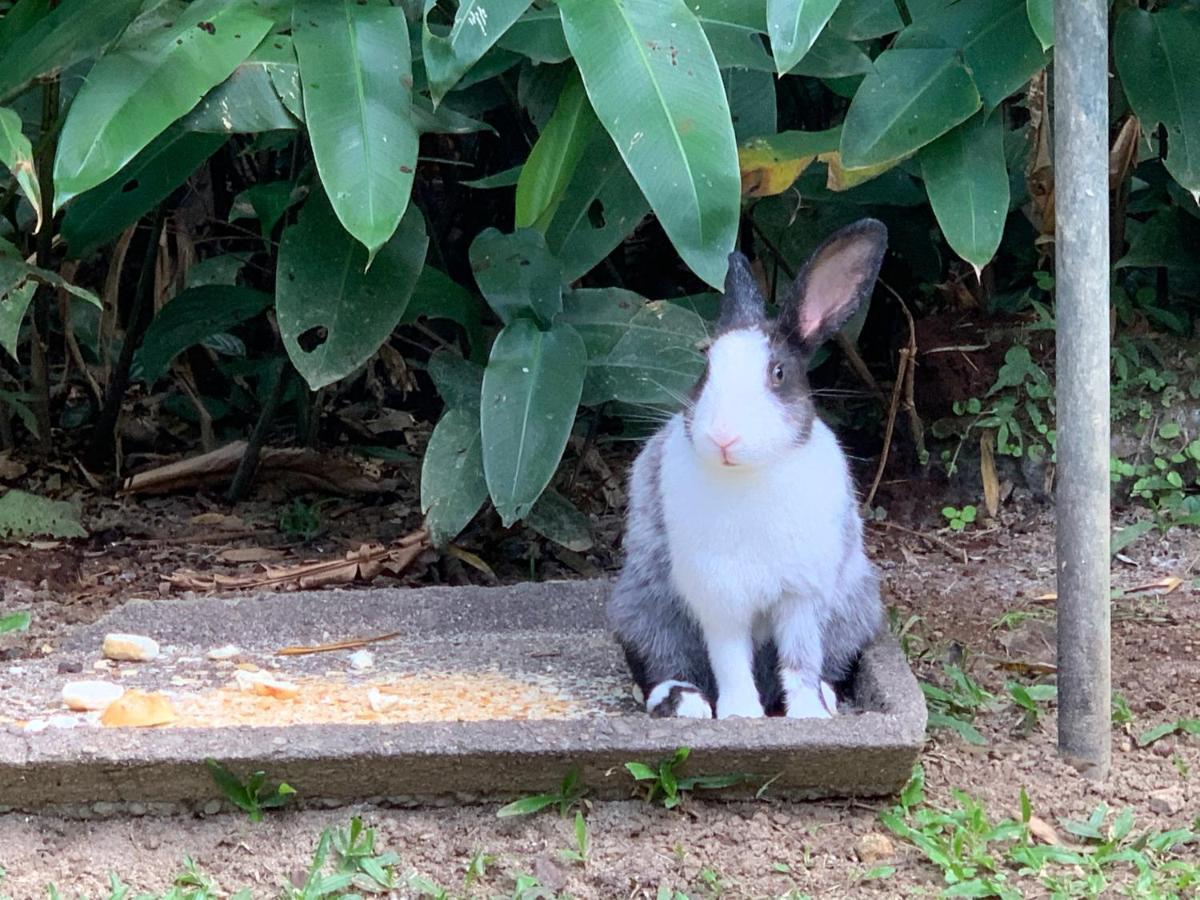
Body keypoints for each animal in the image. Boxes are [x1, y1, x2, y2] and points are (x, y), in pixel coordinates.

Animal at [609, 218, 892, 720]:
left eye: (777, 373)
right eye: (705, 369)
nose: (724, 436)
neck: (749, 474)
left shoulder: (802, 595)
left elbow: (800, 659)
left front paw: (808, 714)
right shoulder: (719, 597)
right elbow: (729, 660)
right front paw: (741, 714)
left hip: (855, 608)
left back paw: (827, 698)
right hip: (645, 608)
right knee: (662, 661)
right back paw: (685, 704)